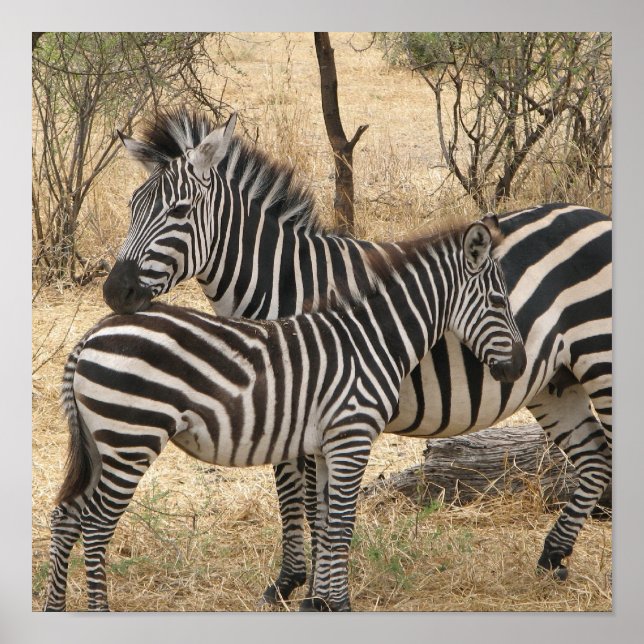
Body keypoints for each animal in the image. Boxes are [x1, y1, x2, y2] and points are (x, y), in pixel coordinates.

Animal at [45, 216, 526, 612]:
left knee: (66, 516)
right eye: (499, 301)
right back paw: (99, 611)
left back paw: (56, 608)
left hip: (102, 442)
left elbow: (327, 519)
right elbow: (341, 523)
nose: (519, 367)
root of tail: (90, 335)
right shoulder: (352, 435)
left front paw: (322, 603)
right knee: (95, 524)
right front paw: (338, 605)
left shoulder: (331, 443)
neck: (373, 338)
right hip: (131, 437)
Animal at [102, 107, 612, 599]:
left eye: (179, 210)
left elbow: (312, 502)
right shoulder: (282, 409)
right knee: (594, 456)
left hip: (601, 361)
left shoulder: (311, 404)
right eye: (131, 207)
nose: (115, 291)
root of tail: (594, 215)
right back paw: (552, 557)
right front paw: (289, 583)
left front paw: (314, 590)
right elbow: (289, 494)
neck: (286, 283)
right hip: (554, 381)